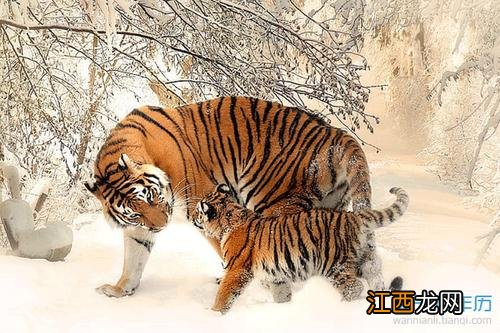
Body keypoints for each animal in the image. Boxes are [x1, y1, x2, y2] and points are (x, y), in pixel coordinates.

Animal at [86, 95, 378, 296]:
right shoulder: (139, 228)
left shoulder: (202, 204)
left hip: (274, 202)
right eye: (134, 213)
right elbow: (134, 257)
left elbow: (228, 248)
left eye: (149, 196)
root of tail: (336, 134)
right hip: (331, 208)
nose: (161, 226)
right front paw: (119, 290)